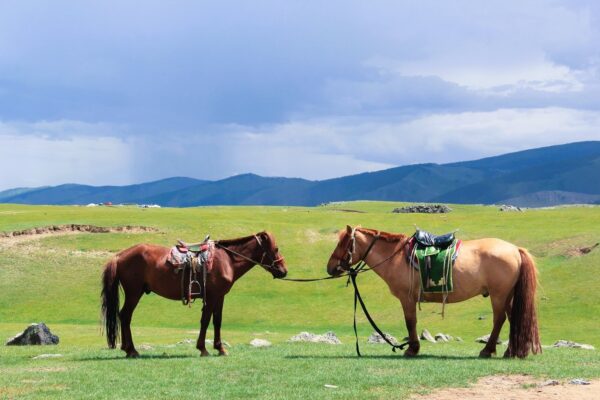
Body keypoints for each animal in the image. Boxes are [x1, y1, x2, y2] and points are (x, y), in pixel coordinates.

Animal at [100, 230, 286, 358]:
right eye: (276, 248)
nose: (284, 271)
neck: (226, 260)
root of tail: (119, 256)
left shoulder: (220, 297)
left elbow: (217, 321)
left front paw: (220, 348)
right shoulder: (212, 297)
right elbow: (205, 321)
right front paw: (203, 349)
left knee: (124, 316)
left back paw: (127, 349)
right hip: (134, 293)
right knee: (125, 316)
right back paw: (132, 350)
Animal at [326, 225, 540, 360]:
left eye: (342, 243)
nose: (330, 268)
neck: (395, 256)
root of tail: (515, 249)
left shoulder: (407, 299)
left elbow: (410, 322)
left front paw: (412, 350)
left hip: (499, 295)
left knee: (499, 320)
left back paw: (487, 351)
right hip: (508, 295)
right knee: (512, 318)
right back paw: (510, 352)